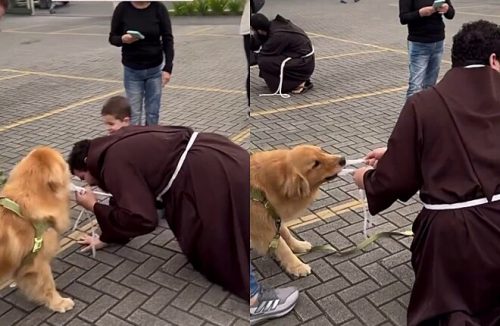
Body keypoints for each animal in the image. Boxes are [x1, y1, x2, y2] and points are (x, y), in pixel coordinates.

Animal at [252, 146, 346, 278]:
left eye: (321, 151)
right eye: (315, 164)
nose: (343, 159)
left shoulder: (273, 215)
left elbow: (285, 232)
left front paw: (297, 245)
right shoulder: (262, 227)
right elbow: (283, 247)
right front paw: (297, 266)